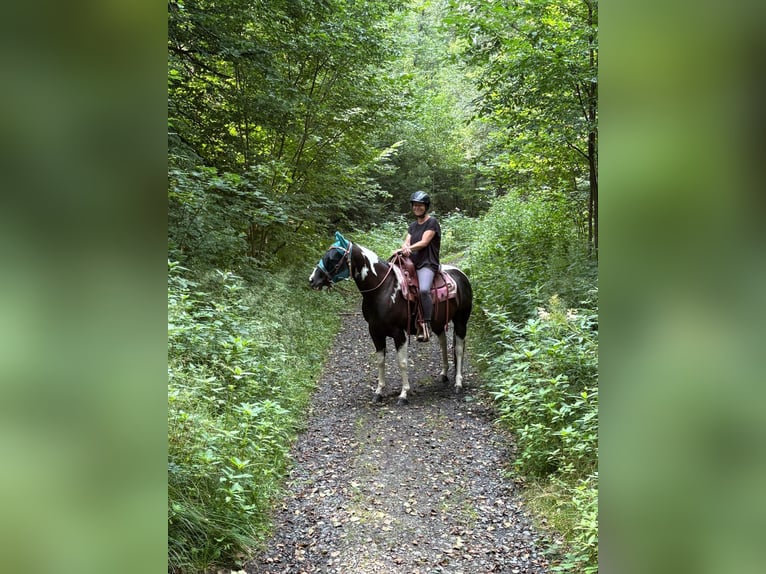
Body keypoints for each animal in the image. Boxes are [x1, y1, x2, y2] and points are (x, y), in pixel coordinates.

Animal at [309, 231, 473, 405]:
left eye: (334, 257)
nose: (312, 279)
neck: (382, 289)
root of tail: (461, 275)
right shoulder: (375, 332)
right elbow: (380, 361)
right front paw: (378, 392)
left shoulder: (399, 333)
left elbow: (402, 362)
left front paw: (403, 394)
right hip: (437, 323)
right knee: (443, 342)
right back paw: (444, 374)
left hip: (461, 321)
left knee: (459, 349)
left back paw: (458, 383)